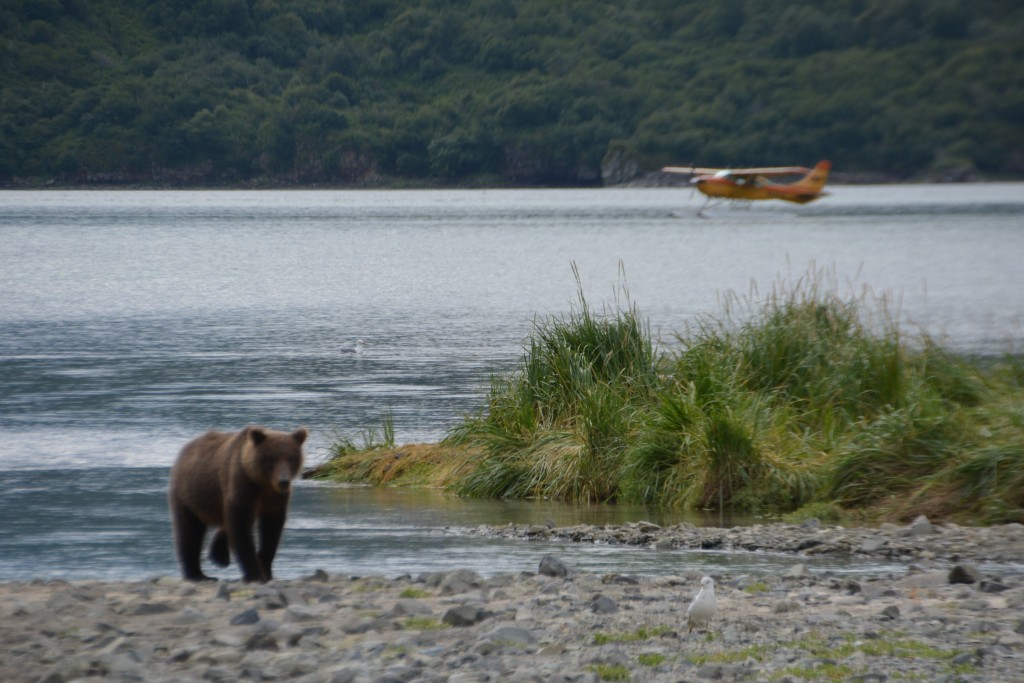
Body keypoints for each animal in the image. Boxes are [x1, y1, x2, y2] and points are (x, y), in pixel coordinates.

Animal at [165, 428, 303, 581]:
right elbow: (241, 525)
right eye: (271, 459)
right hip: (189, 495)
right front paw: (255, 574)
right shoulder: (242, 485)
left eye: (291, 458)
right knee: (189, 532)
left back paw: (218, 555)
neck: (262, 483)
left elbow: (272, 529)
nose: (283, 481)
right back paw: (197, 574)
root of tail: (185, 449)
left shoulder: (275, 498)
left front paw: (266, 569)